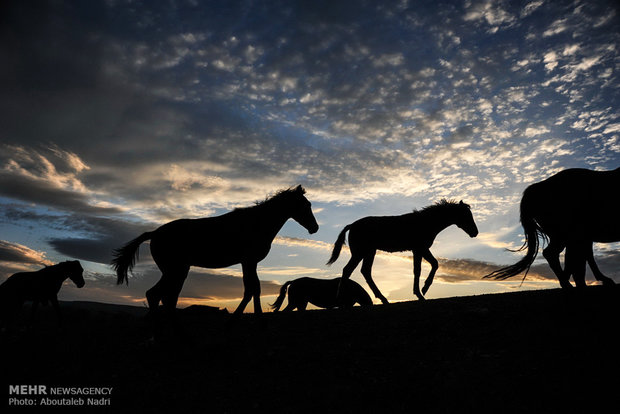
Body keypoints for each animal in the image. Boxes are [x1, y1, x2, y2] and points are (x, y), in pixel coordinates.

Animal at [110, 185, 320, 314]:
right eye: (305, 205)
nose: (315, 228)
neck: (256, 223)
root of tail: (155, 233)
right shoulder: (249, 261)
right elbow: (252, 289)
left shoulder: (248, 263)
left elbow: (253, 289)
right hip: (175, 270)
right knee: (156, 295)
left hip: (177, 271)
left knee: (164, 296)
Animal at [326, 199, 478, 302]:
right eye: (466, 215)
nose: (475, 232)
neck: (426, 222)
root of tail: (352, 225)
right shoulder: (420, 248)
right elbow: (423, 268)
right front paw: (422, 291)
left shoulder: (419, 250)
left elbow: (429, 266)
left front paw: (421, 291)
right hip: (360, 252)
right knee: (348, 270)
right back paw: (340, 299)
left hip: (370, 252)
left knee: (365, 271)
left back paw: (383, 298)